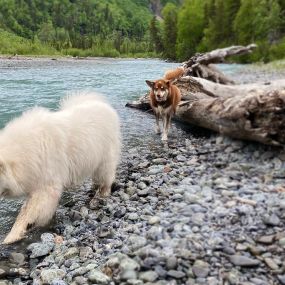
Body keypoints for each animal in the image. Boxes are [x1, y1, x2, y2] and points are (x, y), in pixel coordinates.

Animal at [0, 92, 120, 243]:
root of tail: (103, 104)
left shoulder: (46, 184)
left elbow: (27, 212)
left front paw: (11, 236)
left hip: (105, 158)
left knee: (106, 177)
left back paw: (103, 193)